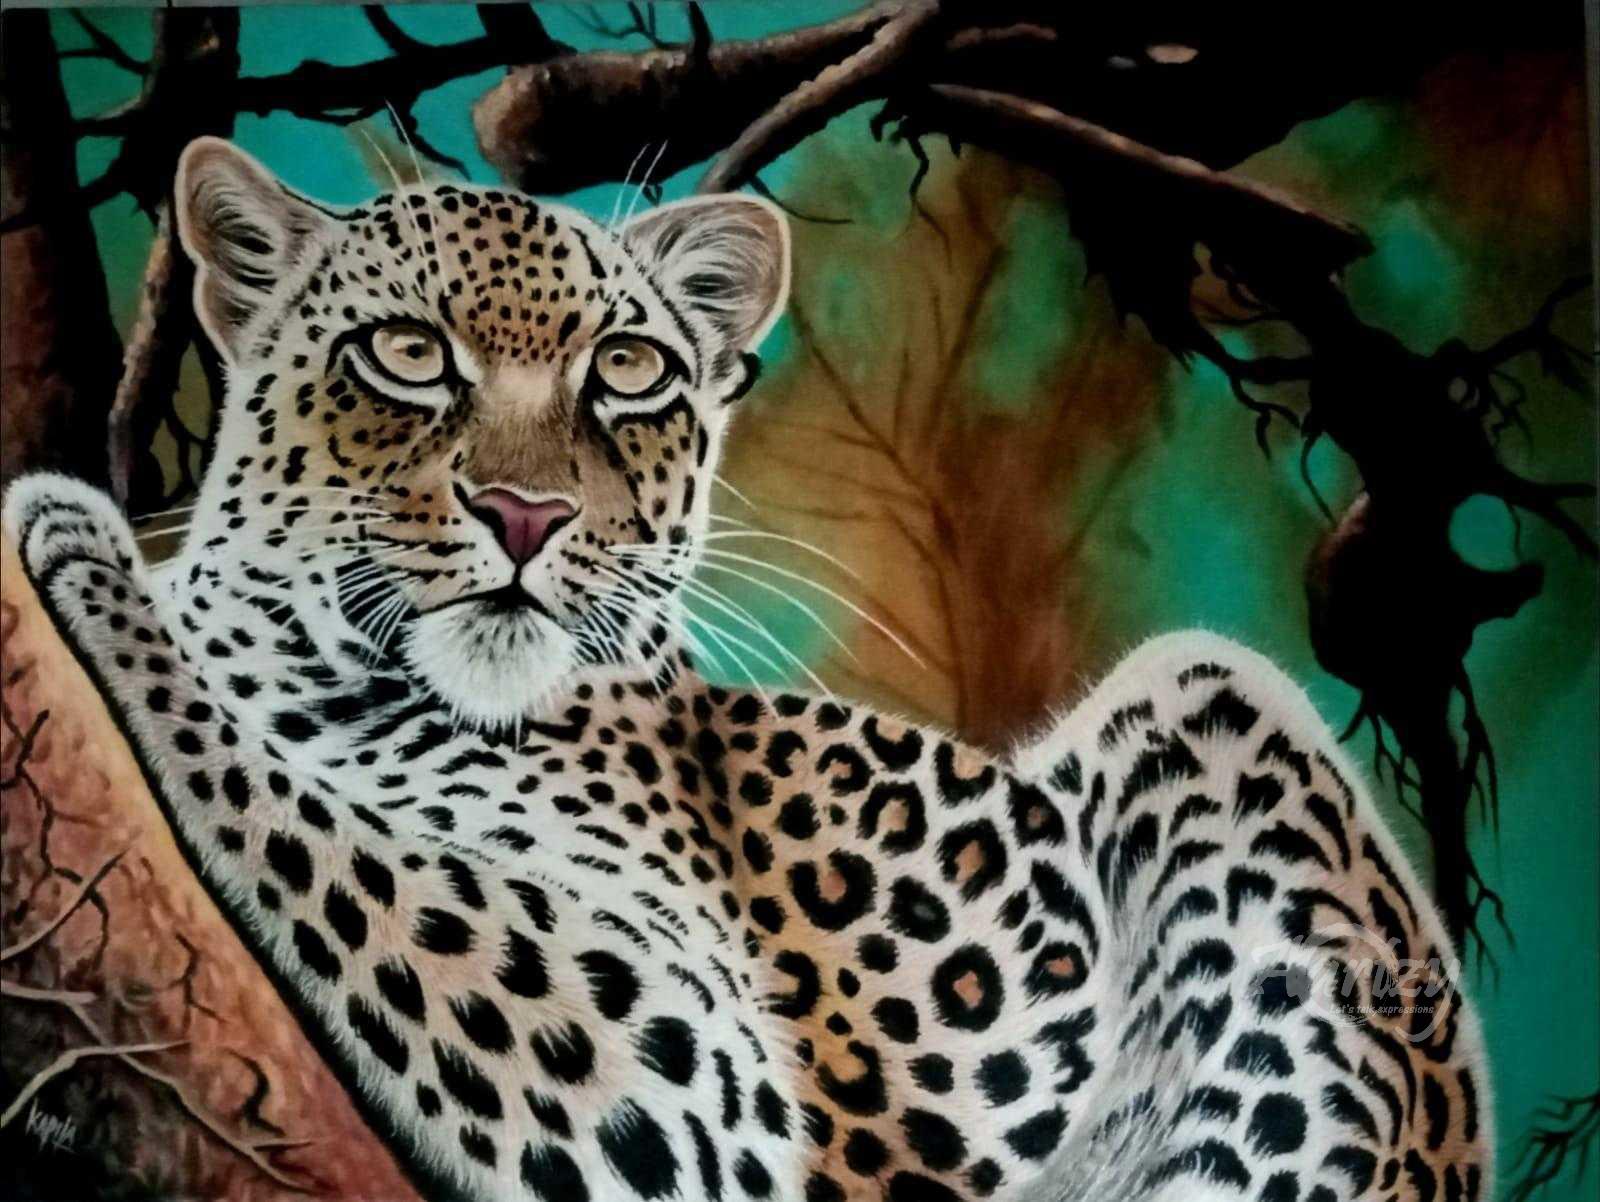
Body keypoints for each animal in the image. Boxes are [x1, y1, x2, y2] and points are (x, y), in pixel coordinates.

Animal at [3, 135, 1492, 1202]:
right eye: (410, 351)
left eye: (629, 368)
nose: (528, 515)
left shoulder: (696, 1078)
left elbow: (302, 809)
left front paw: (89, 554)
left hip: (1219, 709)